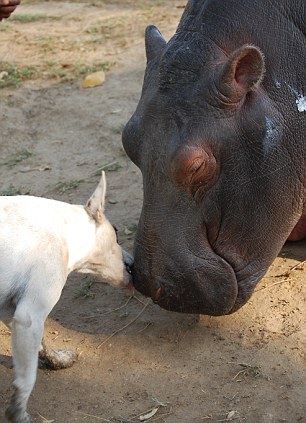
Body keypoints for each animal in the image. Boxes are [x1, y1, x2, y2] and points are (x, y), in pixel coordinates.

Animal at [0, 173, 133, 423]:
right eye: (117, 232)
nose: (134, 265)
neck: (65, 233)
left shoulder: (10, 311)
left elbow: (41, 347)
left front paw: (57, 360)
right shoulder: (29, 316)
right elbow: (27, 377)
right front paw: (18, 413)